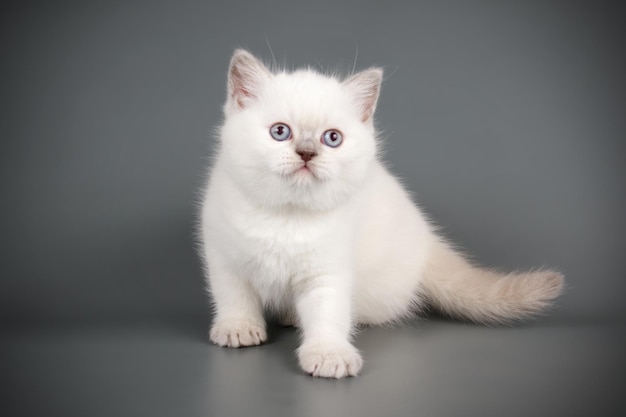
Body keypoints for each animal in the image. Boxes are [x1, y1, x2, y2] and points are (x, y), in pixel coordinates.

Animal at [197, 48, 564, 376]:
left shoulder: (331, 270)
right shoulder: (223, 254)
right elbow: (233, 295)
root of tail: (425, 239)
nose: (307, 153)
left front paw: (329, 354)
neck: (287, 216)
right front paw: (238, 327)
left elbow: (329, 312)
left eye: (332, 138)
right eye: (280, 131)